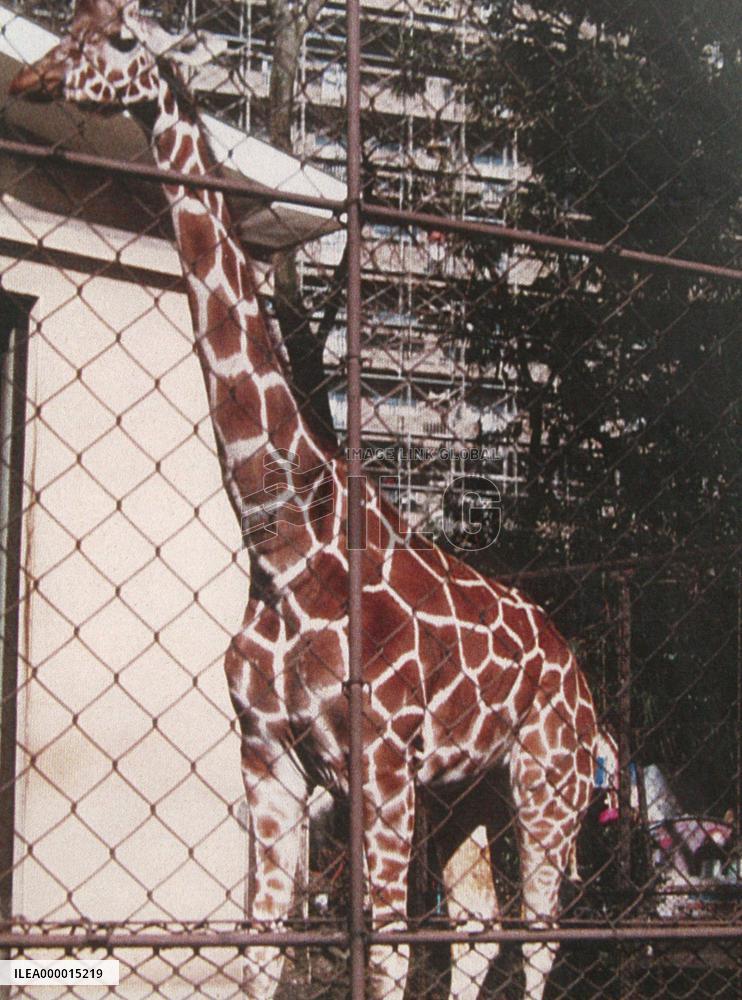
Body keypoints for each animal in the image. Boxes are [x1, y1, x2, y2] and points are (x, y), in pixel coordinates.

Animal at [10, 3, 616, 998]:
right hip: (466, 792)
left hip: (546, 778)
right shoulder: (267, 754)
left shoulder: (377, 762)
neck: (286, 548)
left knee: (540, 933)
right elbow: (260, 940)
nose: (30, 81)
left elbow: (377, 944)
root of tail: (578, 670)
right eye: (71, 23)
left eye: (126, 38)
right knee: (481, 928)